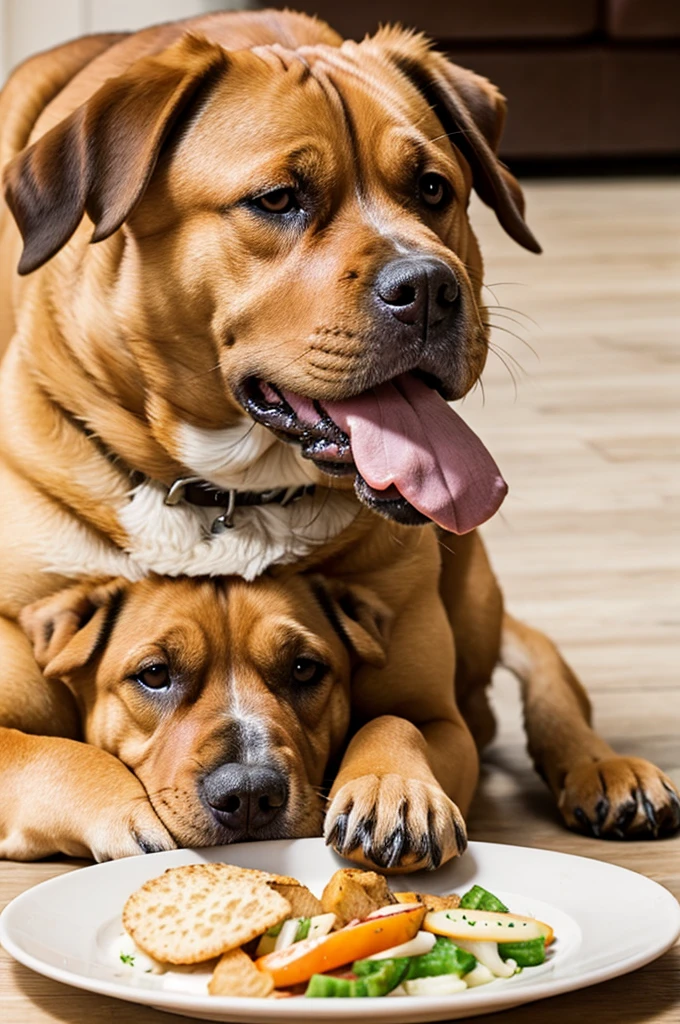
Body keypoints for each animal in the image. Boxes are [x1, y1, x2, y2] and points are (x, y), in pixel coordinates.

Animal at [1, 573, 462, 868]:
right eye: (154, 674)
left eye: (303, 669)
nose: (249, 794)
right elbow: (55, 751)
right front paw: (125, 813)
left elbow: (396, 721)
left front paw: (394, 790)